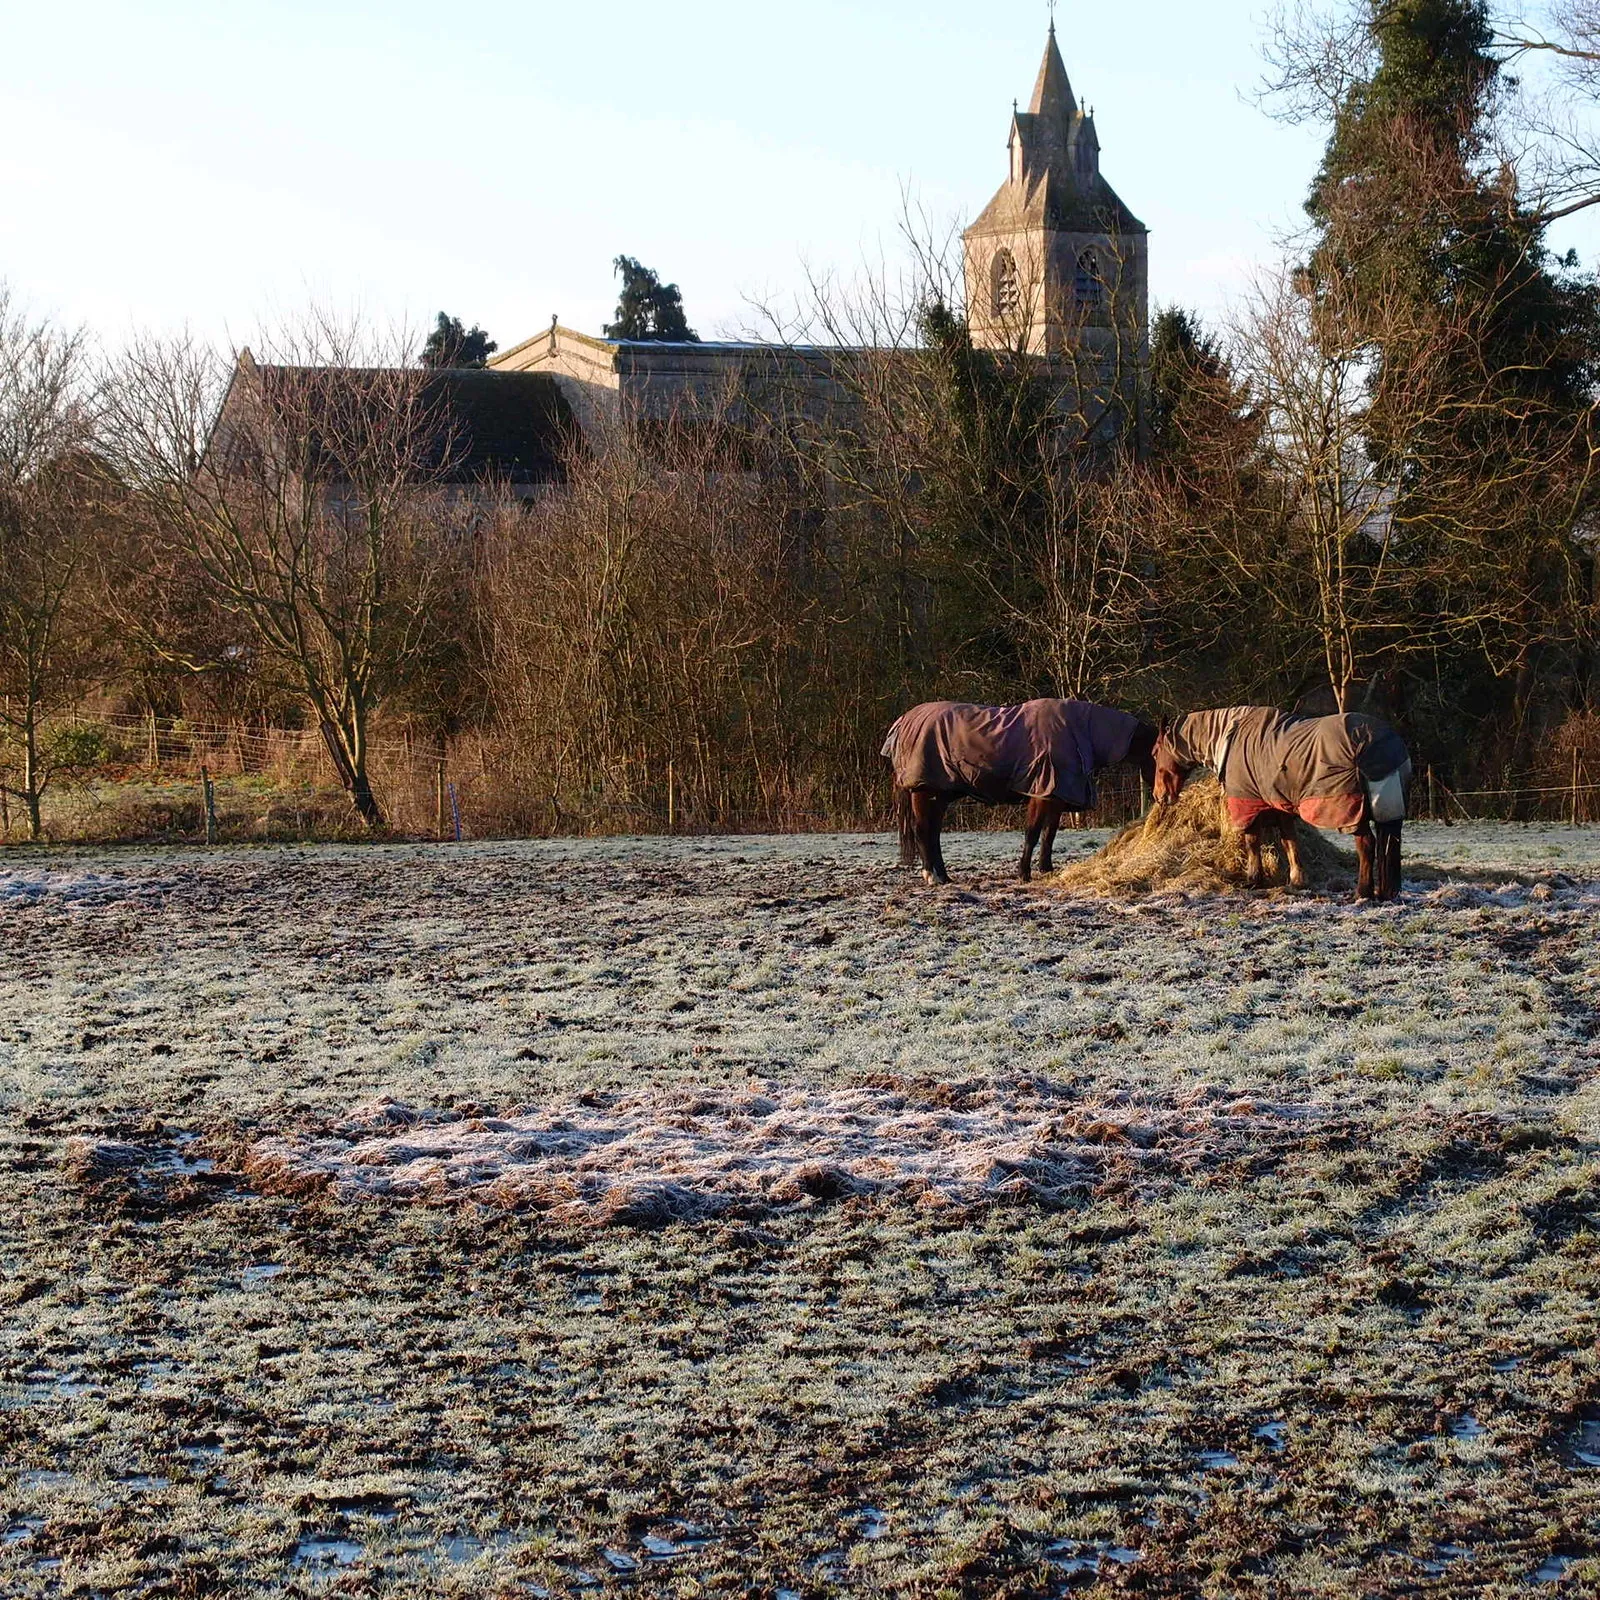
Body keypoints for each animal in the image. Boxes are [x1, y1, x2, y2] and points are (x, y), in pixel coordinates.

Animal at [883, 694, 1158, 883]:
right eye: (1158, 752)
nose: (1159, 793)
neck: (1078, 730)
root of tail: (901, 722)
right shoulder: (1040, 794)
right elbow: (1033, 833)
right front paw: (1024, 873)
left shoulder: (1056, 797)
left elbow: (1049, 834)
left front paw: (1046, 869)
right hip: (924, 792)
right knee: (922, 831)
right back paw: (931, 876)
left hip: (939, 795)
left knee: (934, 835)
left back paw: (944, 876)